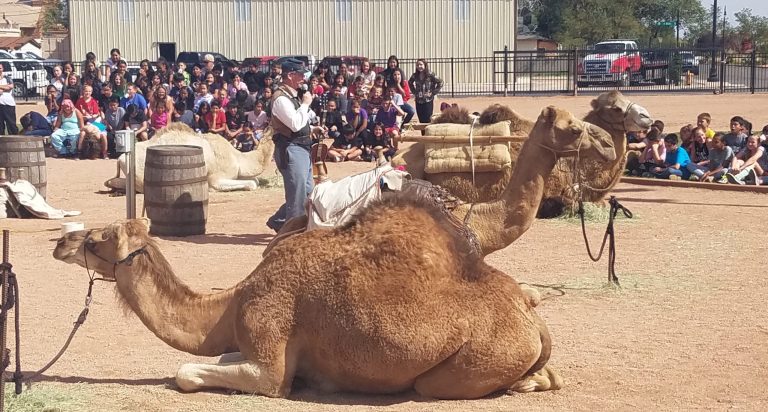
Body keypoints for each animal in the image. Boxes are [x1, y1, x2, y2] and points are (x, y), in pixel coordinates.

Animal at [53, 200, 562, 399]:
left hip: (464, 366)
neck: (231, 304)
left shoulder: (268, 357)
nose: (60, 241)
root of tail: (532, 319)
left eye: (97, 239)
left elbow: (187, 373)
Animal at [104, 123, 275, 192]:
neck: (238, 157)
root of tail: (120, 158)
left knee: (112, 181)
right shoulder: (216, 179)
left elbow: (255, 180)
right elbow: (252, 184)